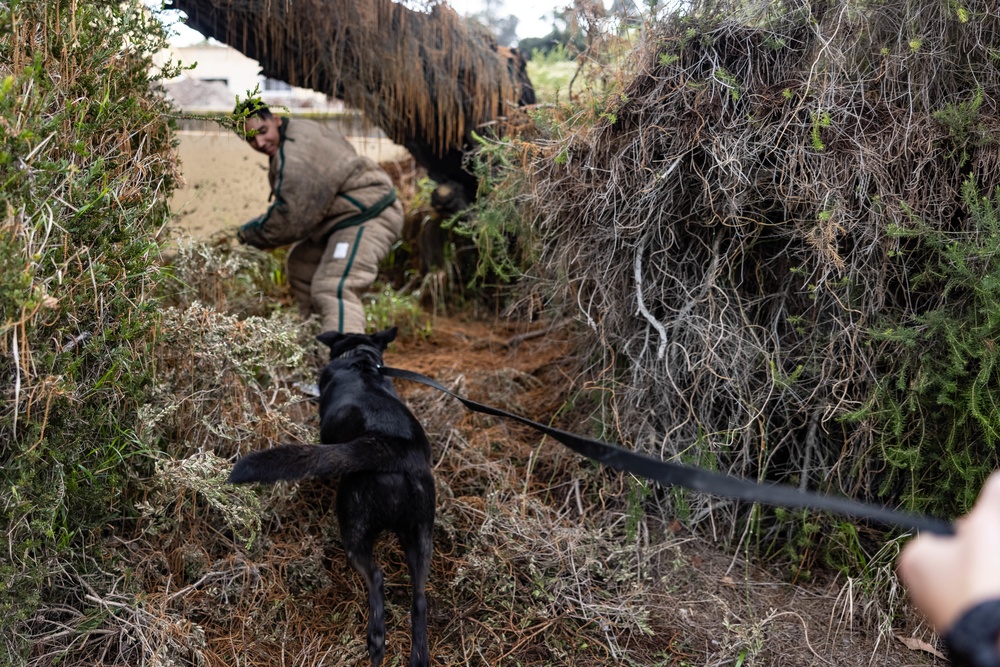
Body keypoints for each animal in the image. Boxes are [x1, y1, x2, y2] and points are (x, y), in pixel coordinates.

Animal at [230, 328, 434, 667]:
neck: (361, 360)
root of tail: (390, 446)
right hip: (420, 535)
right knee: (419, 599)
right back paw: (418, 656)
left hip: (354, 524)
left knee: (376, 577)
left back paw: (376, 640)